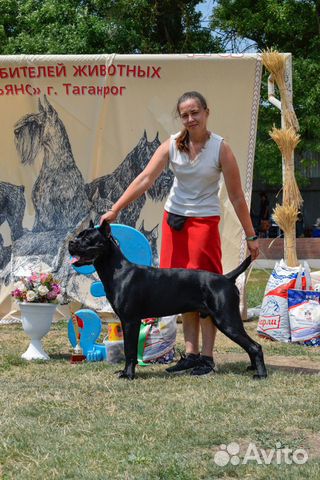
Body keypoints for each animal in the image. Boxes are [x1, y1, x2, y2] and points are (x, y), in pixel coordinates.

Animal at [69, 223, 266, 380]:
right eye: (79, 235)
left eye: (87, 238)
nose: (71, 242)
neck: (117, 271)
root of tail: (227, 278)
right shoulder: (126, 322)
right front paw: (124, 372)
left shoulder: (131, 321)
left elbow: (130, 350)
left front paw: (128, 374)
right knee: (250, 346)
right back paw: (252, 368)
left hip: (227, 320)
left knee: (255, 346)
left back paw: (261, 374)